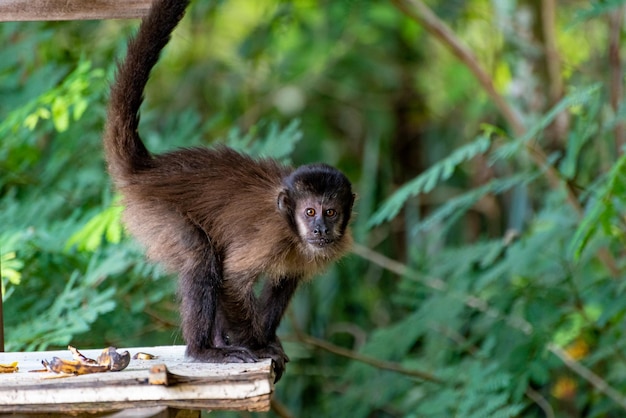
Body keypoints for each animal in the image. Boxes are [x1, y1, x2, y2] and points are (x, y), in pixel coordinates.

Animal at [105, 0, 354, 380]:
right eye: (310, 212)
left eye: (330, 212)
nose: (320, 229)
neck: (290, 224)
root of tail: (149, 171)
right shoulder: (272, 235)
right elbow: (231, 280)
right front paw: (260, 346)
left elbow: (282, 284)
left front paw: (264, 340)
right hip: (154, 211)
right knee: (200, 256)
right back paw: (202, 350)